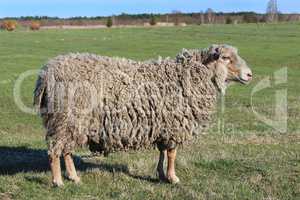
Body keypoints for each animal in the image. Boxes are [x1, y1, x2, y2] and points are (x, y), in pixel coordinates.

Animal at [33, 43, 253, 186]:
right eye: (225, 57)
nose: (250, 74)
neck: (190, 76)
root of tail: (46, 73)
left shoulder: (163, 125)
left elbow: (163, 152)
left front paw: (161, 174)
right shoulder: (174, 125)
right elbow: (172, 153)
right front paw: (173, 178)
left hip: (70, 122)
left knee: (66, 150)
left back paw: (74, 177)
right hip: (66, 118)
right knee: (55, 150)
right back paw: (58, 181)